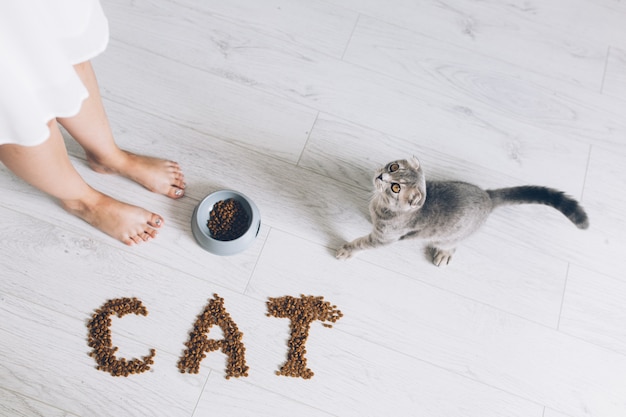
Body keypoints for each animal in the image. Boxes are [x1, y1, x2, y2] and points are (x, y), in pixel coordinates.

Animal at [334, 154, 588, 264]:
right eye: (393, 166)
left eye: (395, 187)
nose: (381, 176)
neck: (381, 205)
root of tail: (488, 196)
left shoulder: (383, 239)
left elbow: (362, 243)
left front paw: (348, 249)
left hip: (449, 236)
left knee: (452, 244)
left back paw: (444, 253)